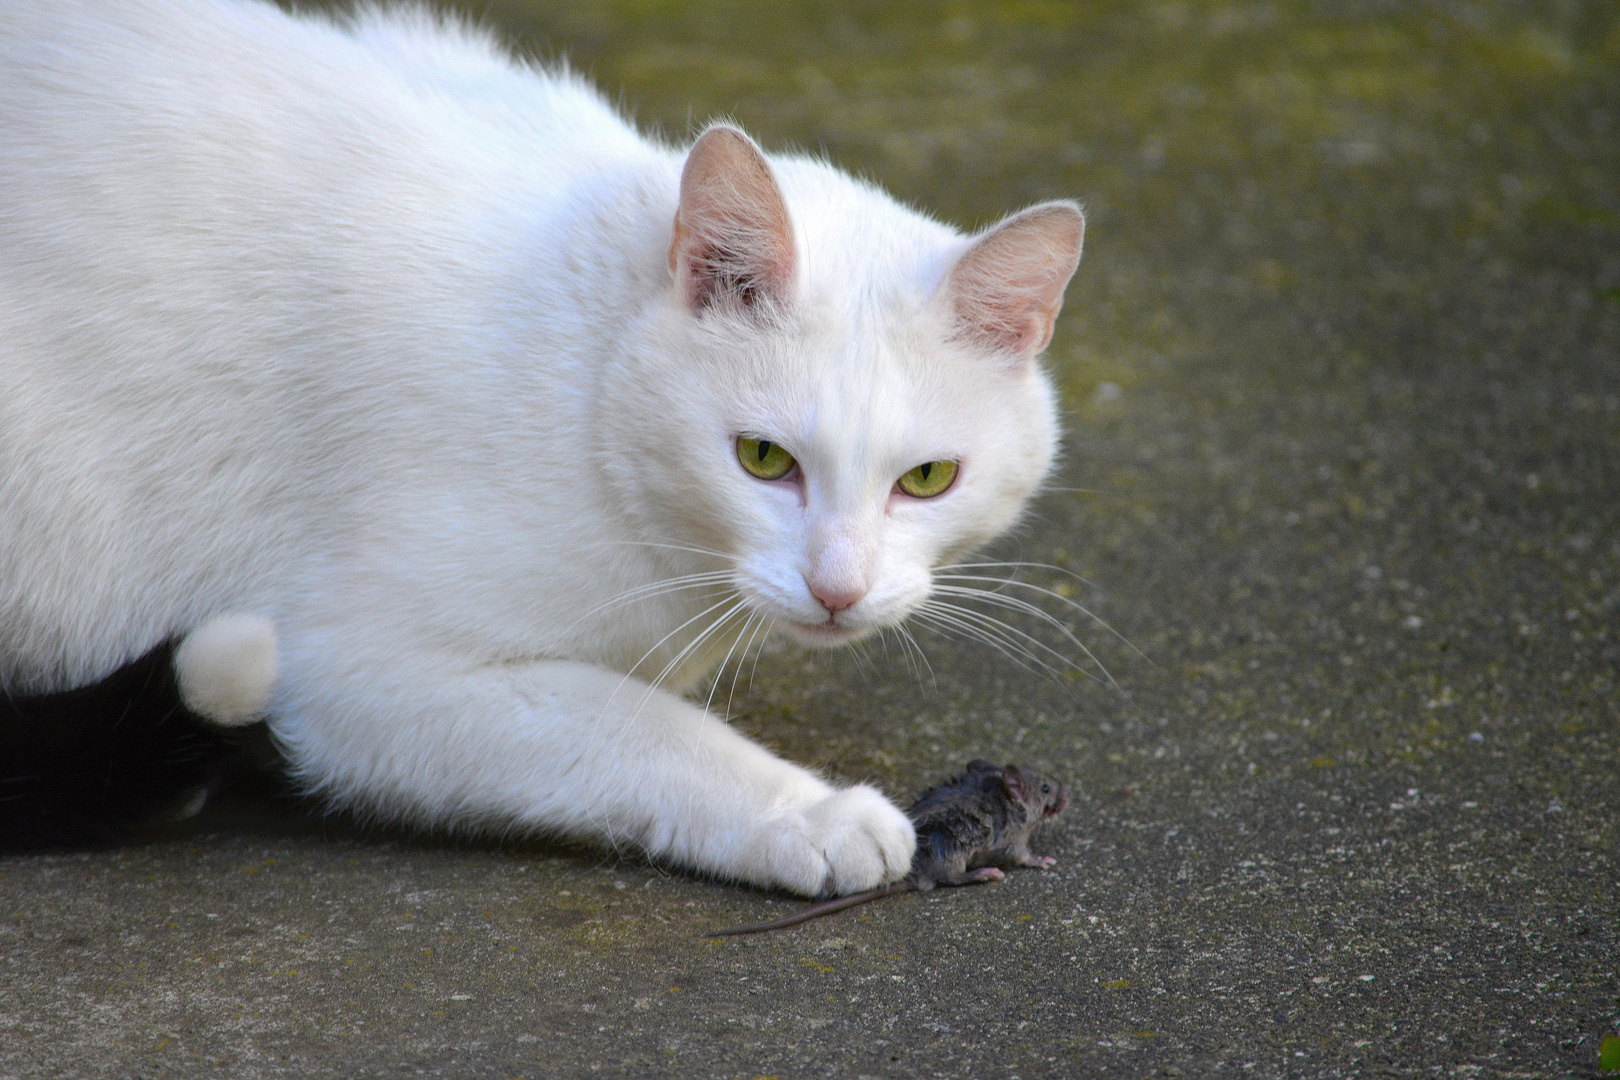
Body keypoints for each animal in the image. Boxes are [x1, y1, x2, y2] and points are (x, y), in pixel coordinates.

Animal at [3, 0, 1088, 893]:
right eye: (764, 461)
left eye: (929, 478)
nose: (838, 589)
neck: (587, 378)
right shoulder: (356, 674)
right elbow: (635, 726)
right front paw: (804, 812)